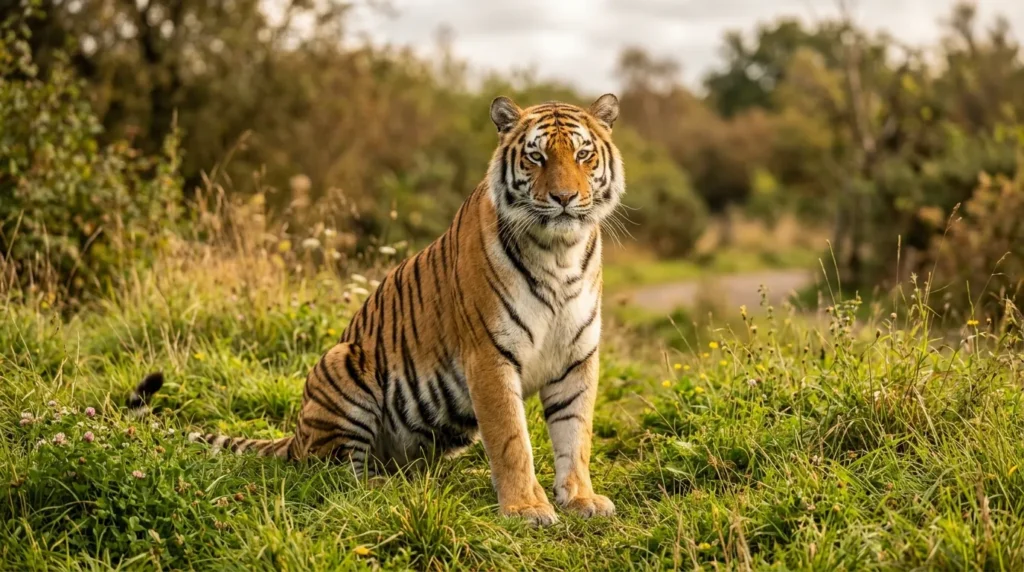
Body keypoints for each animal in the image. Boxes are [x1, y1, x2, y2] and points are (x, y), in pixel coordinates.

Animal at [129, 93, 625, 526]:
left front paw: (581, 498)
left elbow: (576, 435)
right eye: (536, 157)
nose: (564, 198)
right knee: (336, 473)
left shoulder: (577, 357)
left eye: (583, 155)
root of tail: (297, 435)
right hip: (343, 364)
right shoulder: (489, 356)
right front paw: (526, 508)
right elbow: (511, 440)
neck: (559, 253)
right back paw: (383, 488)